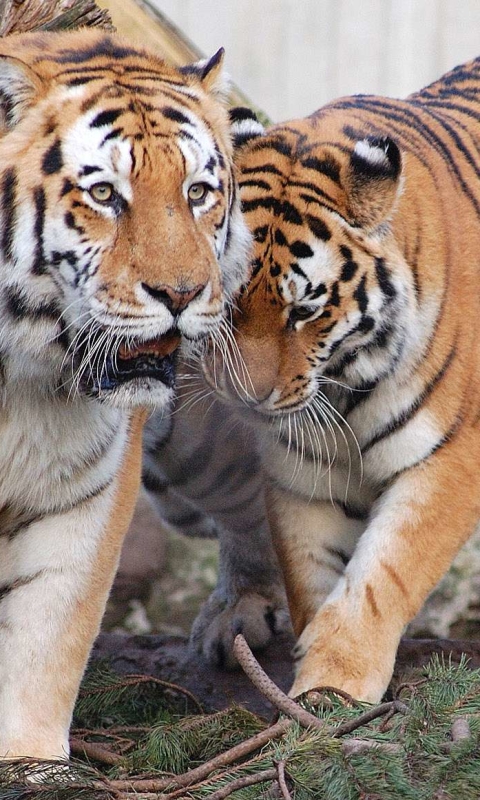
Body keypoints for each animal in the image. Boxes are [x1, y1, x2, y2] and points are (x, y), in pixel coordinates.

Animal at [0, 28, 251, 760]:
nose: (182, 294)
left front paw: (30, 763)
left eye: (198, 191)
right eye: (106, 194)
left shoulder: (80, 493)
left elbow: (46, 639)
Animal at [202, 59, 480, 704]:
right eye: (229, 297)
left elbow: (383, 574)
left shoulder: (450, 457)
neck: (345, 382)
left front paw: (340, 679)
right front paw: (314, 696)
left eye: (305, 310)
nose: (246, 397)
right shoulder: (302, 470)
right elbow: (311, 572)